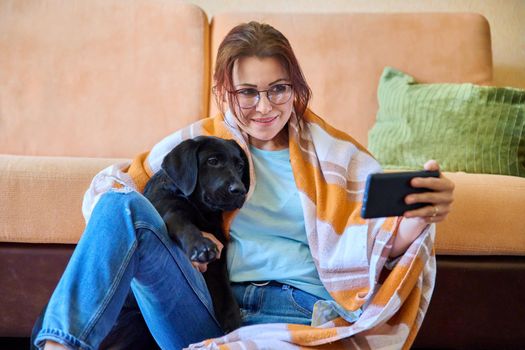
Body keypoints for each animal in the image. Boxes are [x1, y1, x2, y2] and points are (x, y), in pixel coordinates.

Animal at [142, 135, 249, 334]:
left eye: (240, 166)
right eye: (213, 161)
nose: (240, 191)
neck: (202, 209)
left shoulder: (218, 259)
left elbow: (224, 289)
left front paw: (233, 322)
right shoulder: (171, 212)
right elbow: (186, 227)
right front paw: (200, 246)